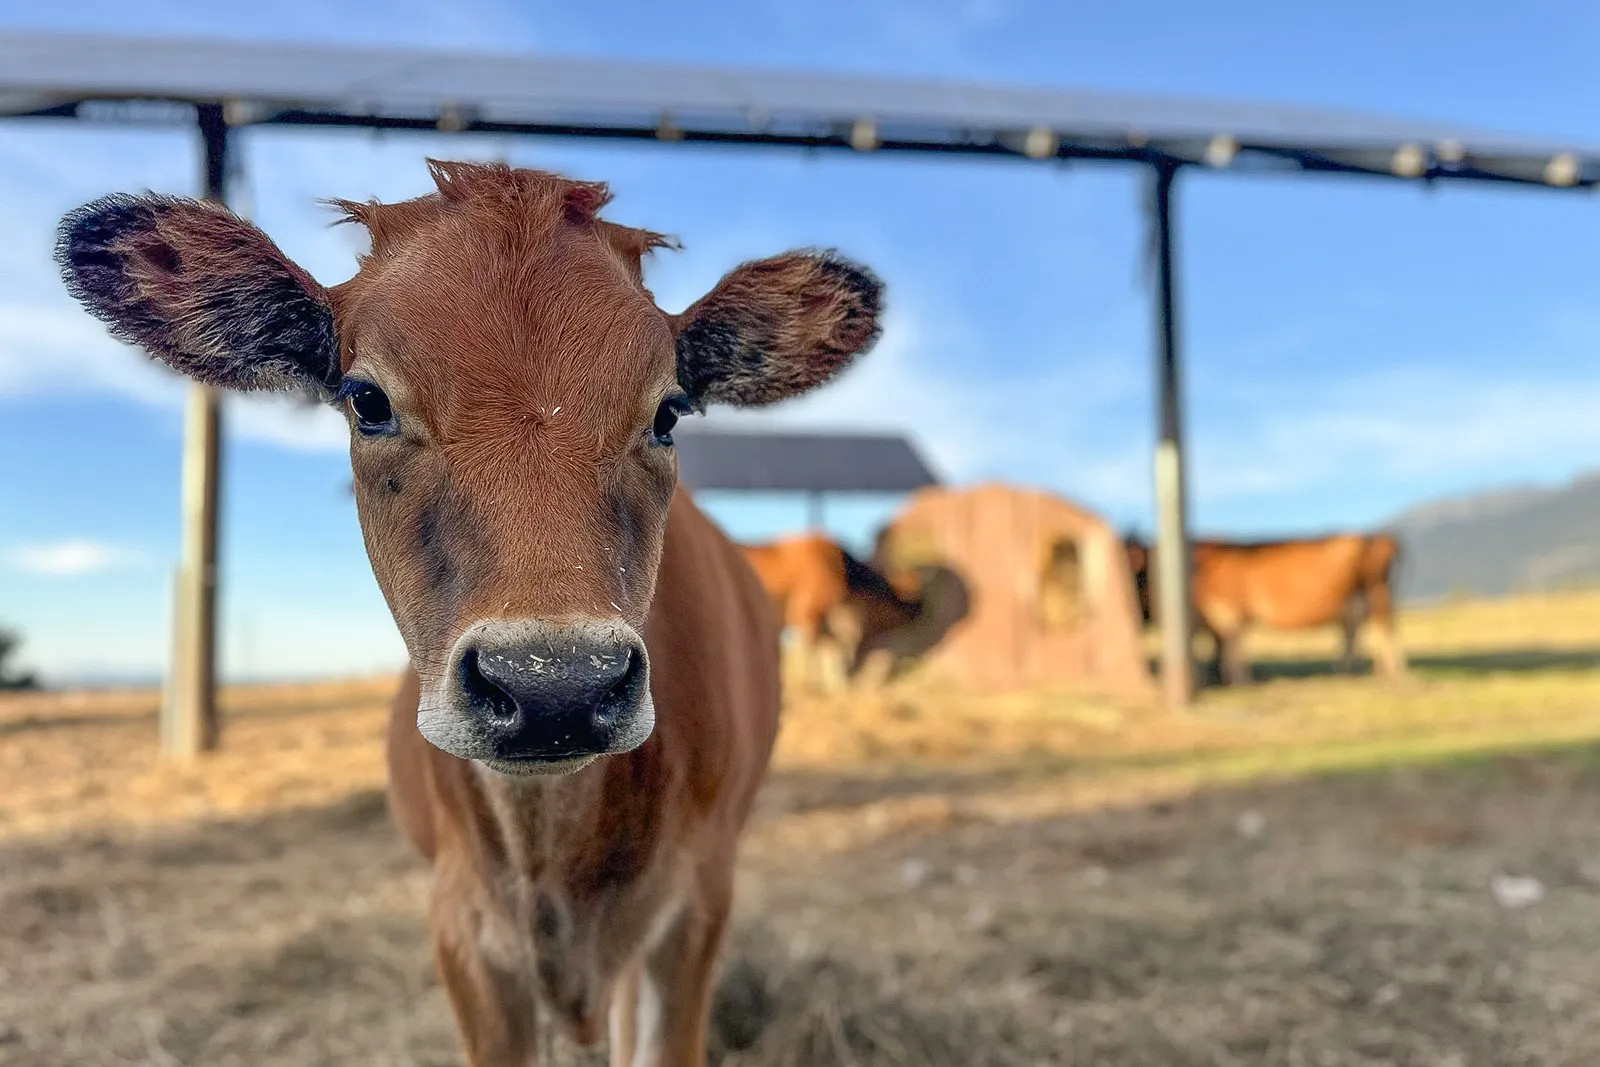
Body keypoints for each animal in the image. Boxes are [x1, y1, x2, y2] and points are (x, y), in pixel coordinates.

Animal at [739, 532, 919, 692]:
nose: (916, 609)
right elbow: (809, 650)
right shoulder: (808, 612)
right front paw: (802, 686)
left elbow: (830, 655)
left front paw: (836, 689)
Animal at [1126, 532, 1407, 685]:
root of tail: (1381, 538)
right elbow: (1223, 649)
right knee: (1354, 630)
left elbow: (1232, 649)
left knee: (1384, 629)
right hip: (1354, 599)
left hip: (1376, 590)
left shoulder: (1228, 610)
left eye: (1136, 568)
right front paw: (1225, 679)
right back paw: (1351, 672)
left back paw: (1393, 674)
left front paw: (1239, 682)